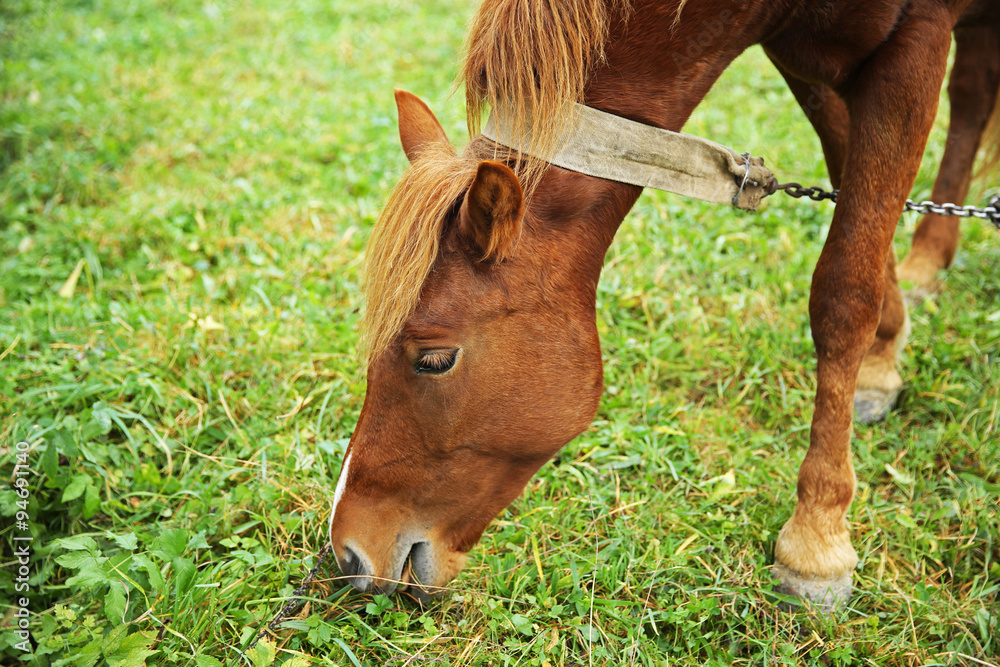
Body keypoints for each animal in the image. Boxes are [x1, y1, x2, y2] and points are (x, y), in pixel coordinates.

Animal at [328, 0, 1000, 610]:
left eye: (435, 360)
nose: (349, 555)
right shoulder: (807, 62)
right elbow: (859, 206)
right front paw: (884, 355)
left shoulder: (913, 45)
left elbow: (845, 288)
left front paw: (814, 542)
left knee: (971, 98)